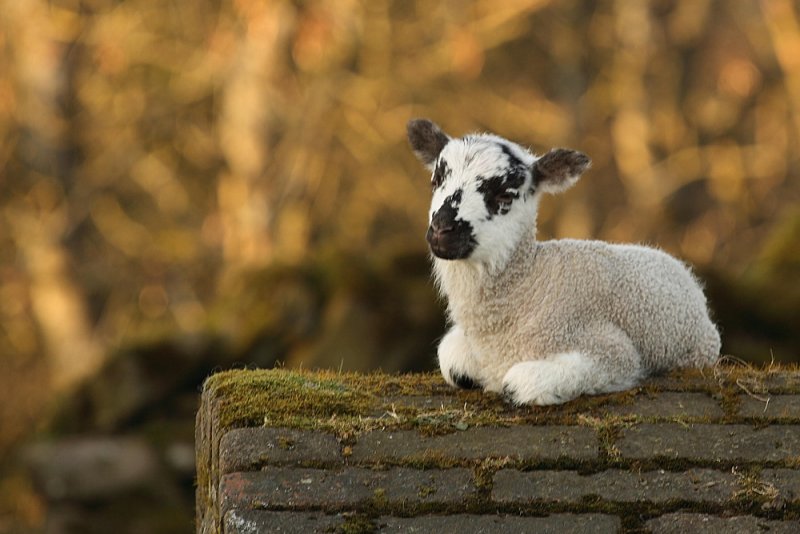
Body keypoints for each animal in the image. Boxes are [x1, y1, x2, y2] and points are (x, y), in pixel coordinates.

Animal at [406, 120, 720, 406]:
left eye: (505, 194)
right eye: (436, 181)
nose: (441, 229)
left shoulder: (609, 347)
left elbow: (517, 384)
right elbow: (450, 361)